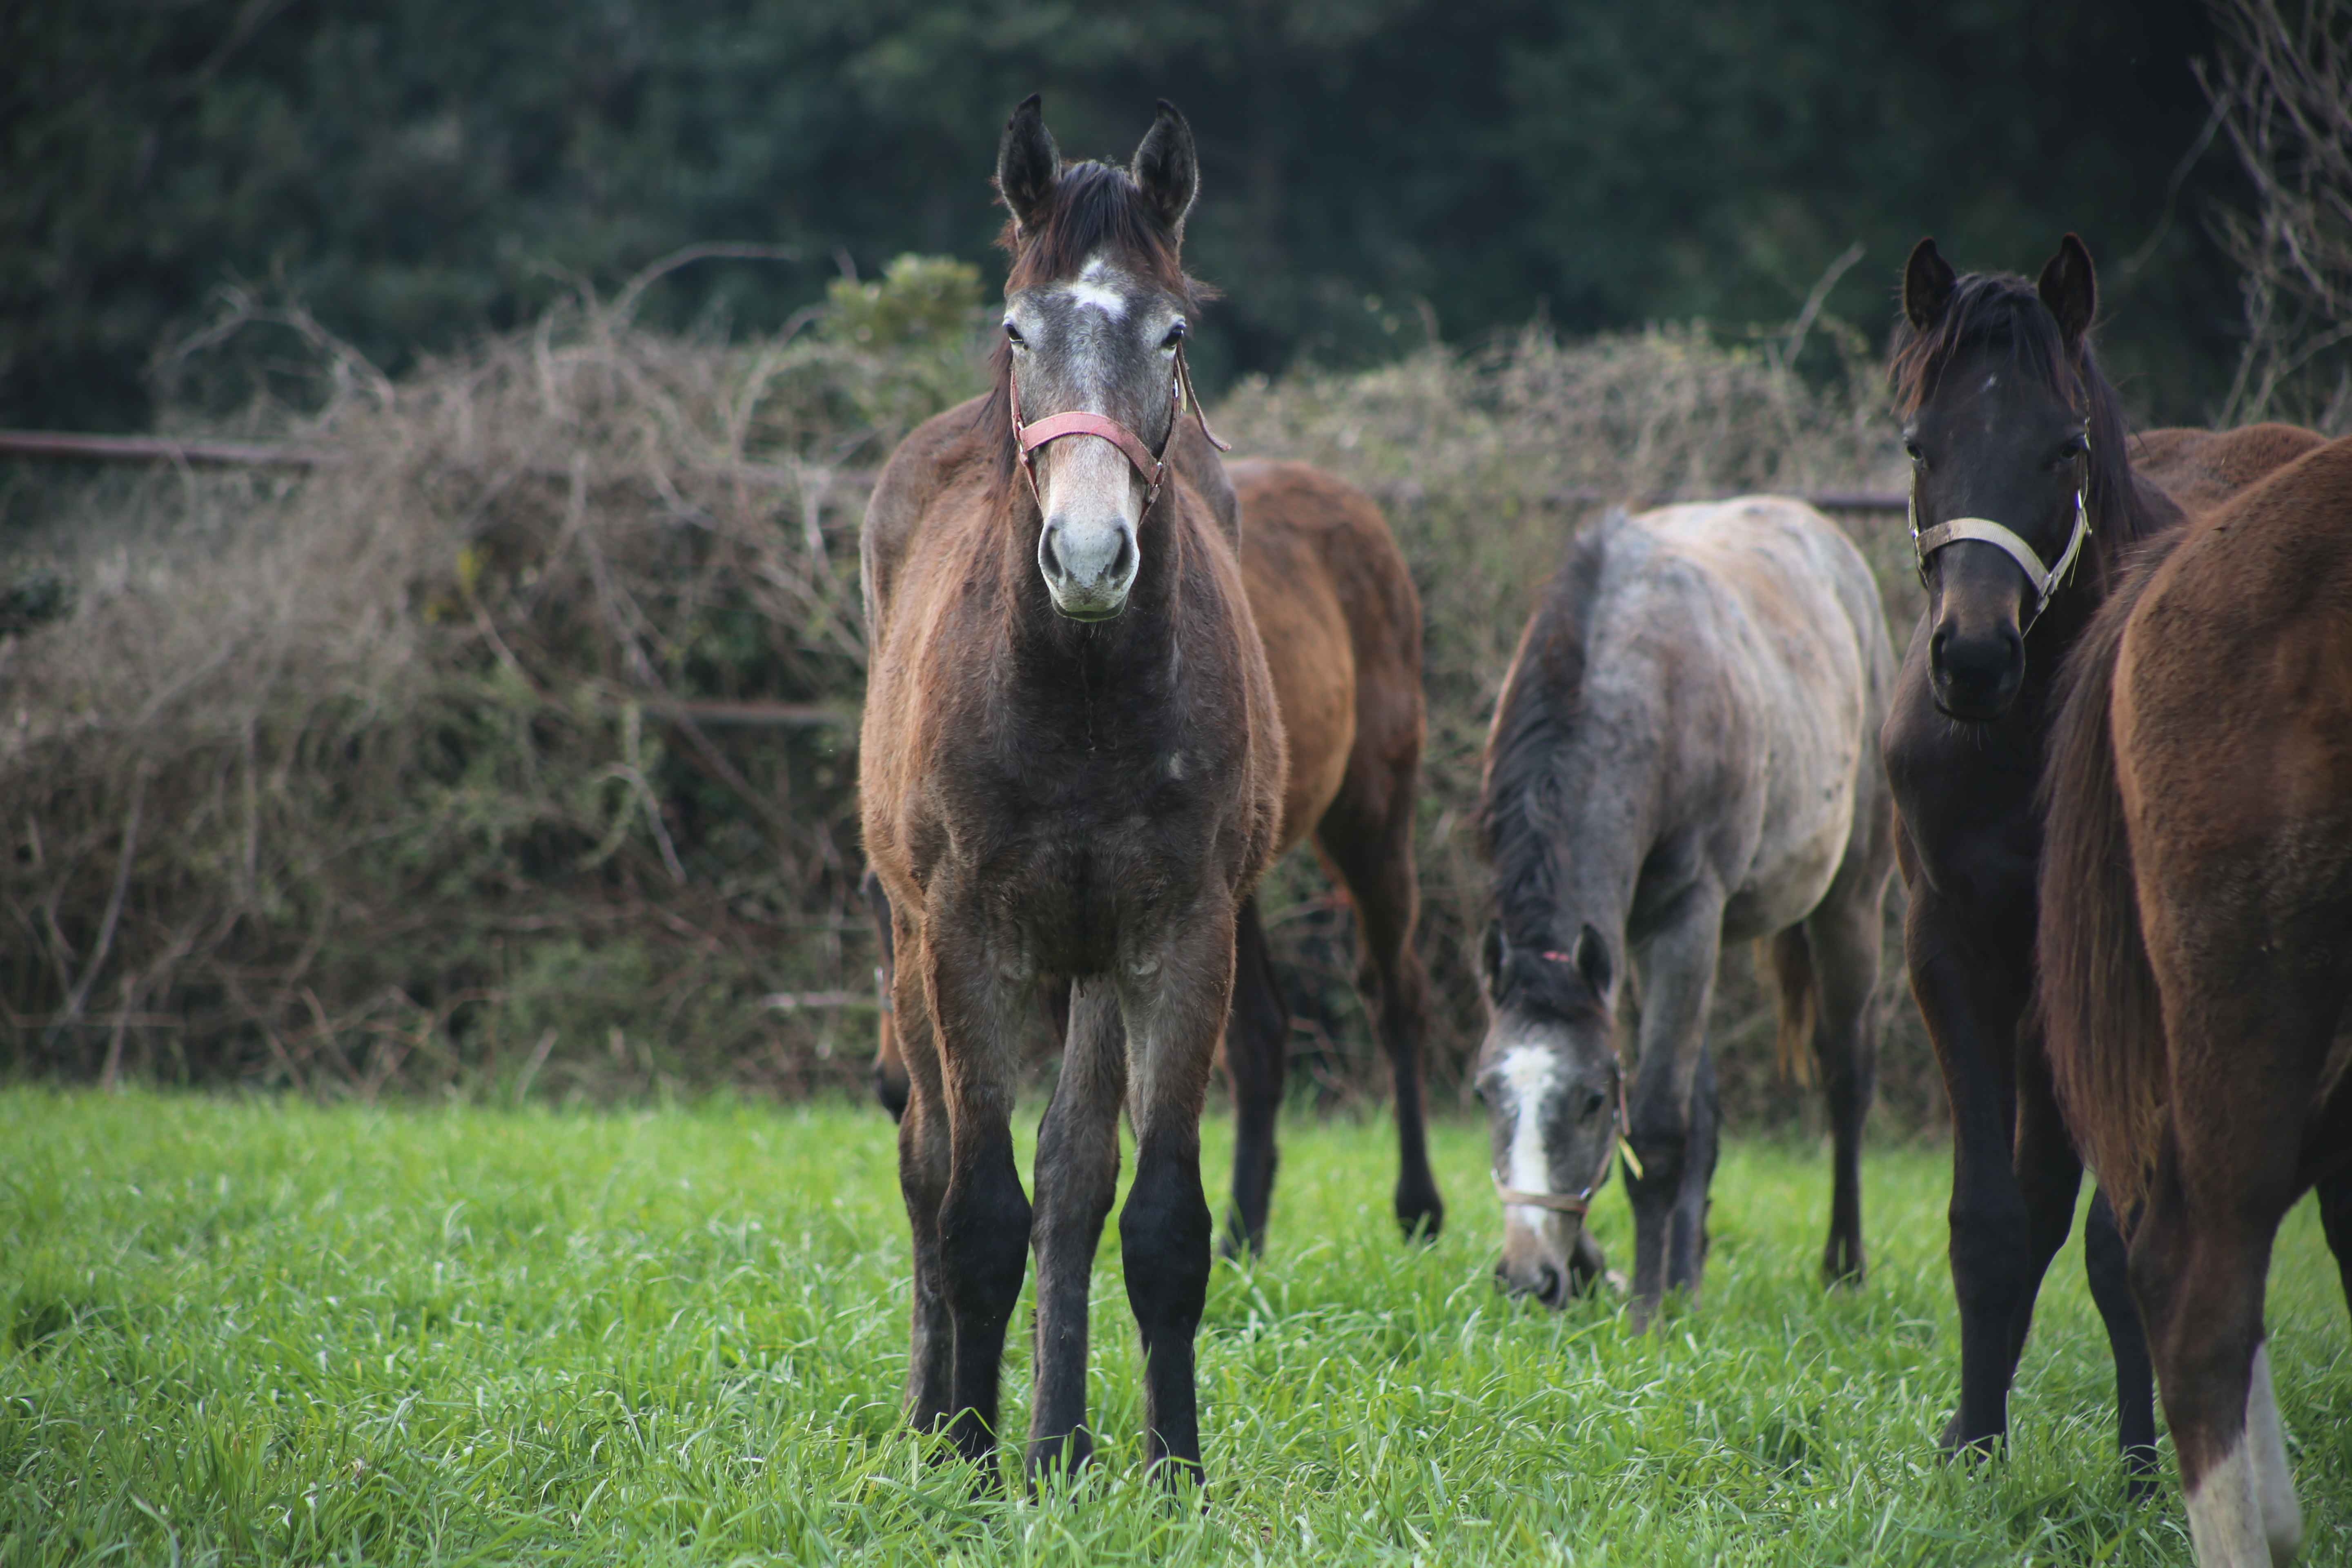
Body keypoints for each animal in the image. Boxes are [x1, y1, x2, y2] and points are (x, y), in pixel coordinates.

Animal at [861, 98, 1279, 1486]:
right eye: (1018, 328)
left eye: (1173, 333)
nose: (1090, 556)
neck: (1082, 695)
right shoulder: (964, 935)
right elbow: (975, 1209)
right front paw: (968, 1464)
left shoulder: (1182, 936)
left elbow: (1154, 1222)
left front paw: (1172, 1471)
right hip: (909, 937)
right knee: (929, 1160)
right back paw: (944, 1422)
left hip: (1094, 962)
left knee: (1076, 1172)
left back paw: (1060, 1439)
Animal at [1477, 501, 1900, 1326]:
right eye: (1486, 1092)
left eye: (1590, 1101)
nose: (1528, 1280)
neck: (1644, 687)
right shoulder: (1631, 942)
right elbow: (1674, 1114)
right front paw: (1614, 1273)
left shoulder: (1686, 915)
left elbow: (1659, 1130)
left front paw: (1644, 1314)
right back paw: (1687, 1276)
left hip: (1848, 903)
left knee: (1848, 1076)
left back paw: (1844, 1268)